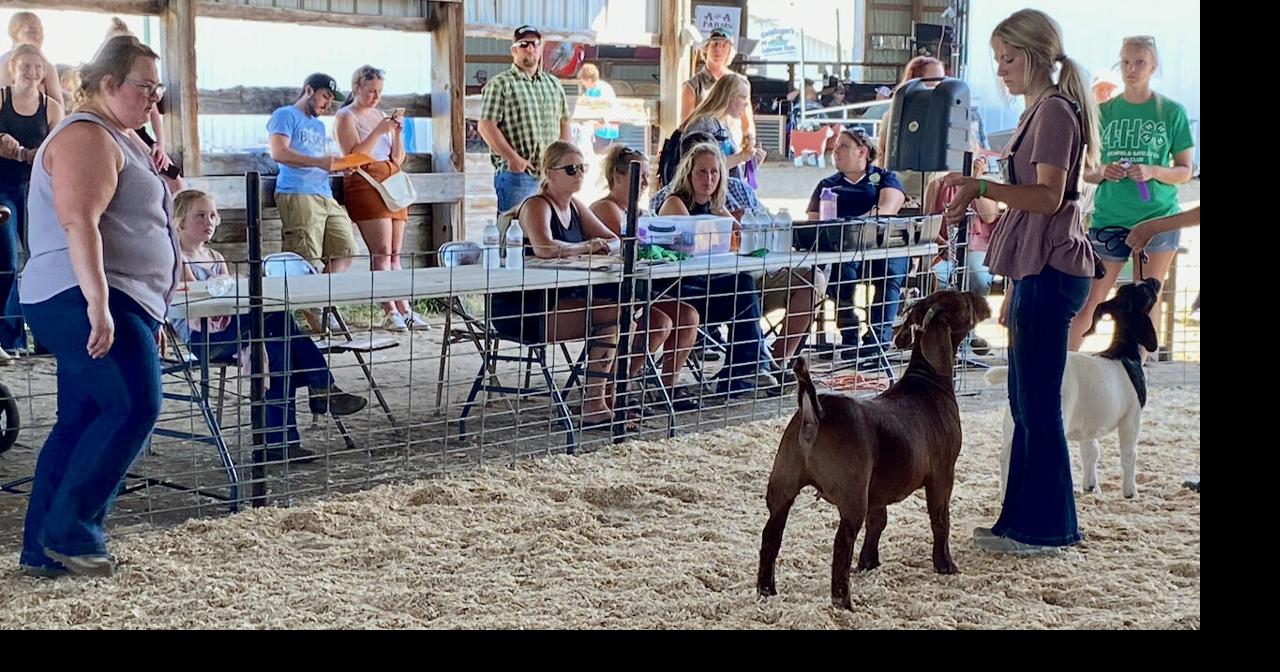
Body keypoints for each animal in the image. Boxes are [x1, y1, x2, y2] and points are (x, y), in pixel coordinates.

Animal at [757, 288, 988, 606]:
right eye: (964, 301)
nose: (983, 298)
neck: (927, 381)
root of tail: (815, 413)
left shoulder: (877, 489)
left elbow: (878, 521)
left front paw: (869, 562)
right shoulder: (943, 473)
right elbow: (940, 518)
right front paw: (946, 565)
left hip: (783, 482)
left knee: (771, 535)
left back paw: (766, 589)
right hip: (851, 493)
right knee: (841, 543)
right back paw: (843, 600)